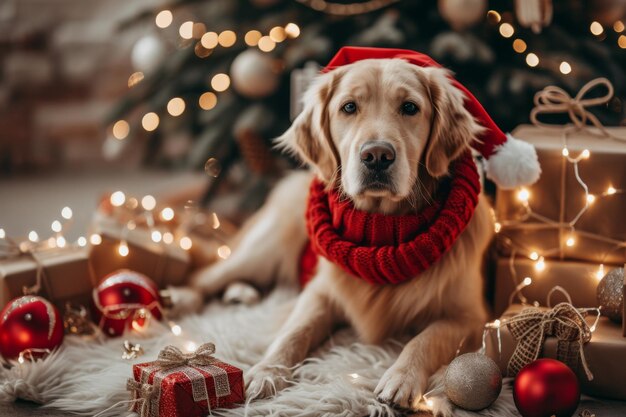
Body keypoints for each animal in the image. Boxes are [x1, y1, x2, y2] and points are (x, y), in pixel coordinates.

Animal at [190, 57, 492, 410]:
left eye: (410, 107)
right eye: (349, 107)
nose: (377, 156)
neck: (382, 232)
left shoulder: (470, 316)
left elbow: (424, 339)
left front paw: (401, 378)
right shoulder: (319, 292)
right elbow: (294, 331)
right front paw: (266, 371)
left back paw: (240, 293)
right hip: (264, 250)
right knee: (202, 276)